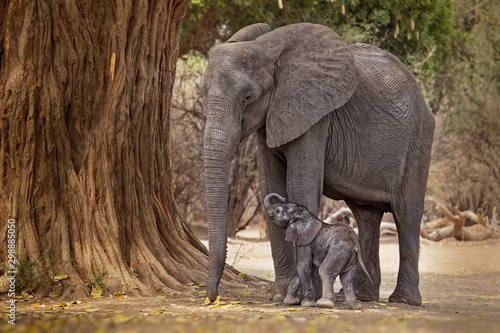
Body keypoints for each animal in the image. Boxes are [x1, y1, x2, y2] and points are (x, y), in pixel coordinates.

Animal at [201, 22, 436, 304]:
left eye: (248, 97)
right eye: (202, 92)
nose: (212, 298)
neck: (268, 48)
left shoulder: (314, 115)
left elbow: (300, 184)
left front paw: (305, 297)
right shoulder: (272, 117)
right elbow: (270, 185)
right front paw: (279, 296)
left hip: (418, 139)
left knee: (406, 214)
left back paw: (403, 300)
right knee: (366, 214)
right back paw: (363, 296)